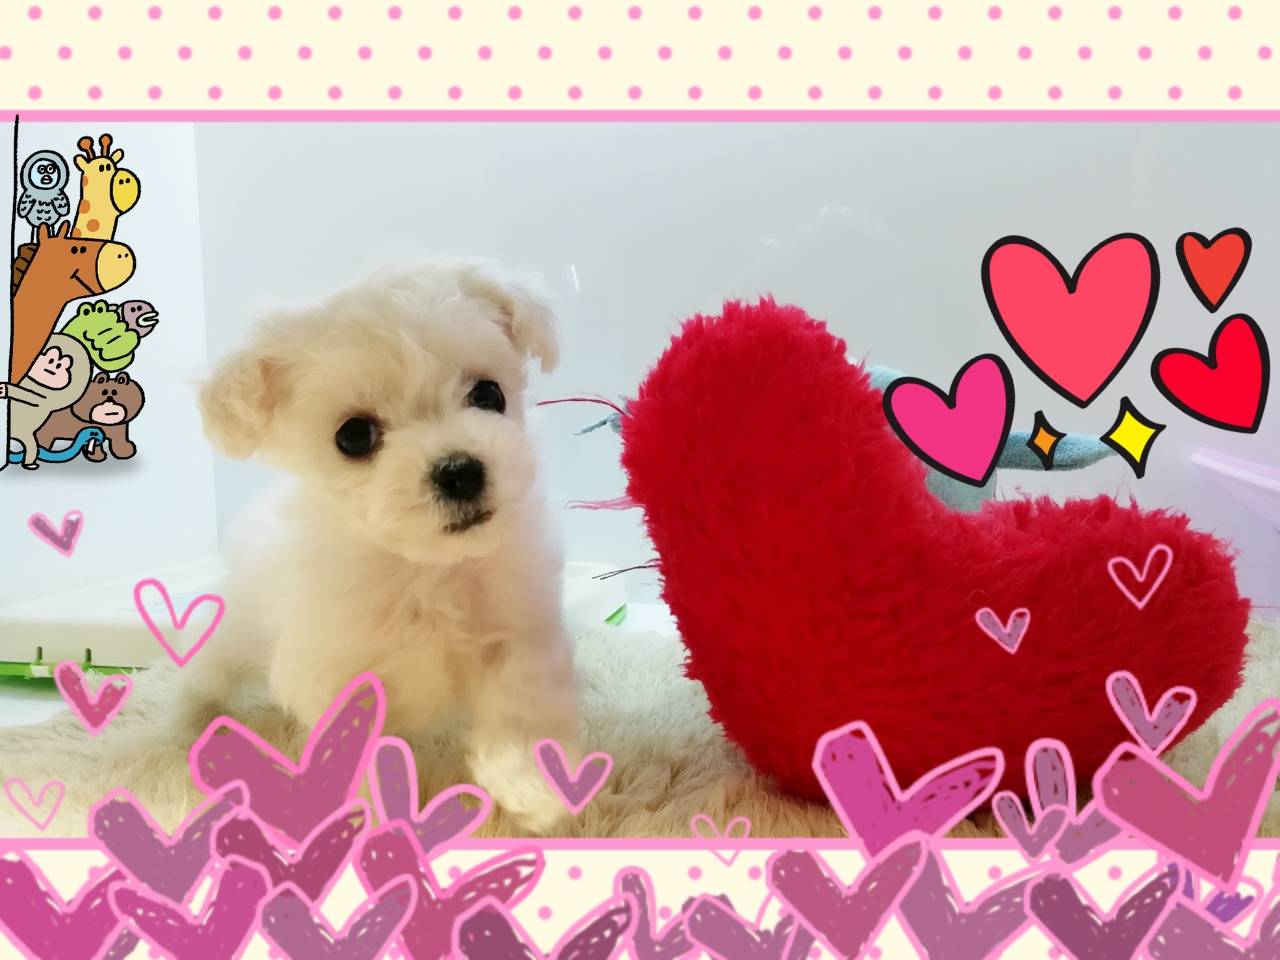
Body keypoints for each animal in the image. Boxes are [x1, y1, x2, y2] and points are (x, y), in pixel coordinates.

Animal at [181, 261, 579, 833]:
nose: (459, 471)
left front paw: (534, 784)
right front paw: (370, 818)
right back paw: (191, 717)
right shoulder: (337, 674)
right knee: (205, 667)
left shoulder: (521, 622)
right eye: (353, 436)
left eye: (488, 394)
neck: (423, 568)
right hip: (233, 630)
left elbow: (522, 699)